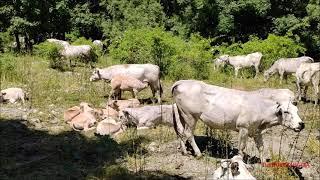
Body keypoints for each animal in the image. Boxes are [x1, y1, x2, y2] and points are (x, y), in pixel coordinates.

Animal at [172, 79, 304, 161]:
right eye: (286, 112)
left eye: (297, 110)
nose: (301, 124)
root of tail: (182, 82)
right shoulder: (243, 128)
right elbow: (242, 148)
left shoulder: (257, 131)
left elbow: (261, 147)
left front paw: (263, 163)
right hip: (190, 116)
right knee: (188, 133)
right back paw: (198, 153)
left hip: (182, 114)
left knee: (181, 132)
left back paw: (184, 151)